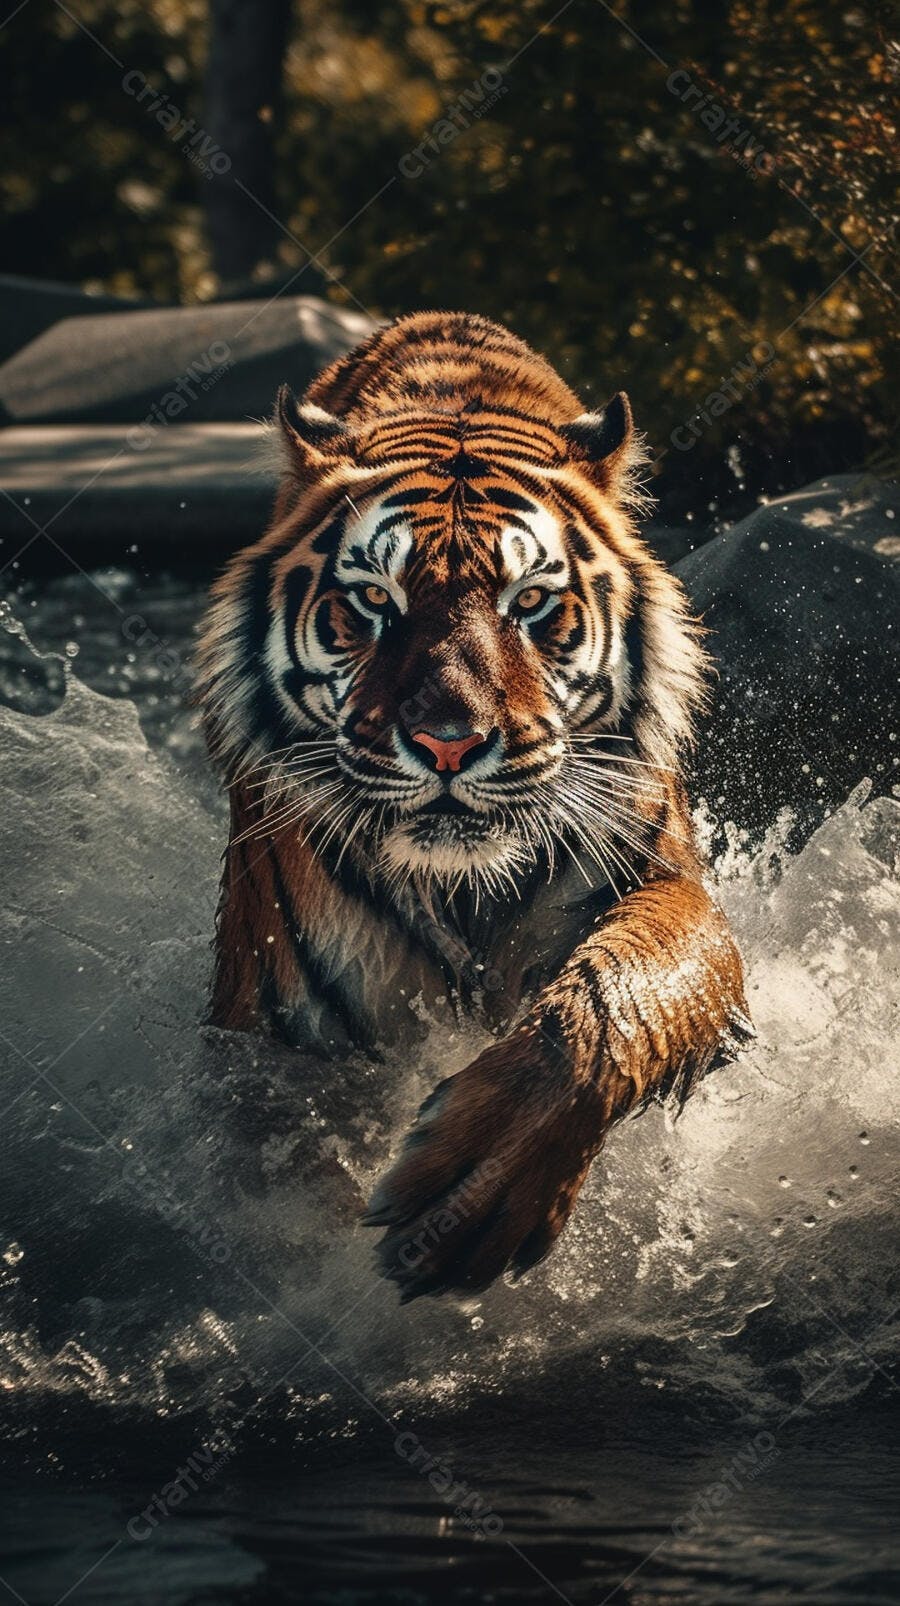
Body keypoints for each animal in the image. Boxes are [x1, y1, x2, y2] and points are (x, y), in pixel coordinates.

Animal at [196, 310, 751, 1302]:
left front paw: (472, 1189)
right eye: (371, 600)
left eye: (529, 601)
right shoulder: (276, 1035)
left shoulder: (670, 884)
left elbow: (619, 991)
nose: (450, 741)